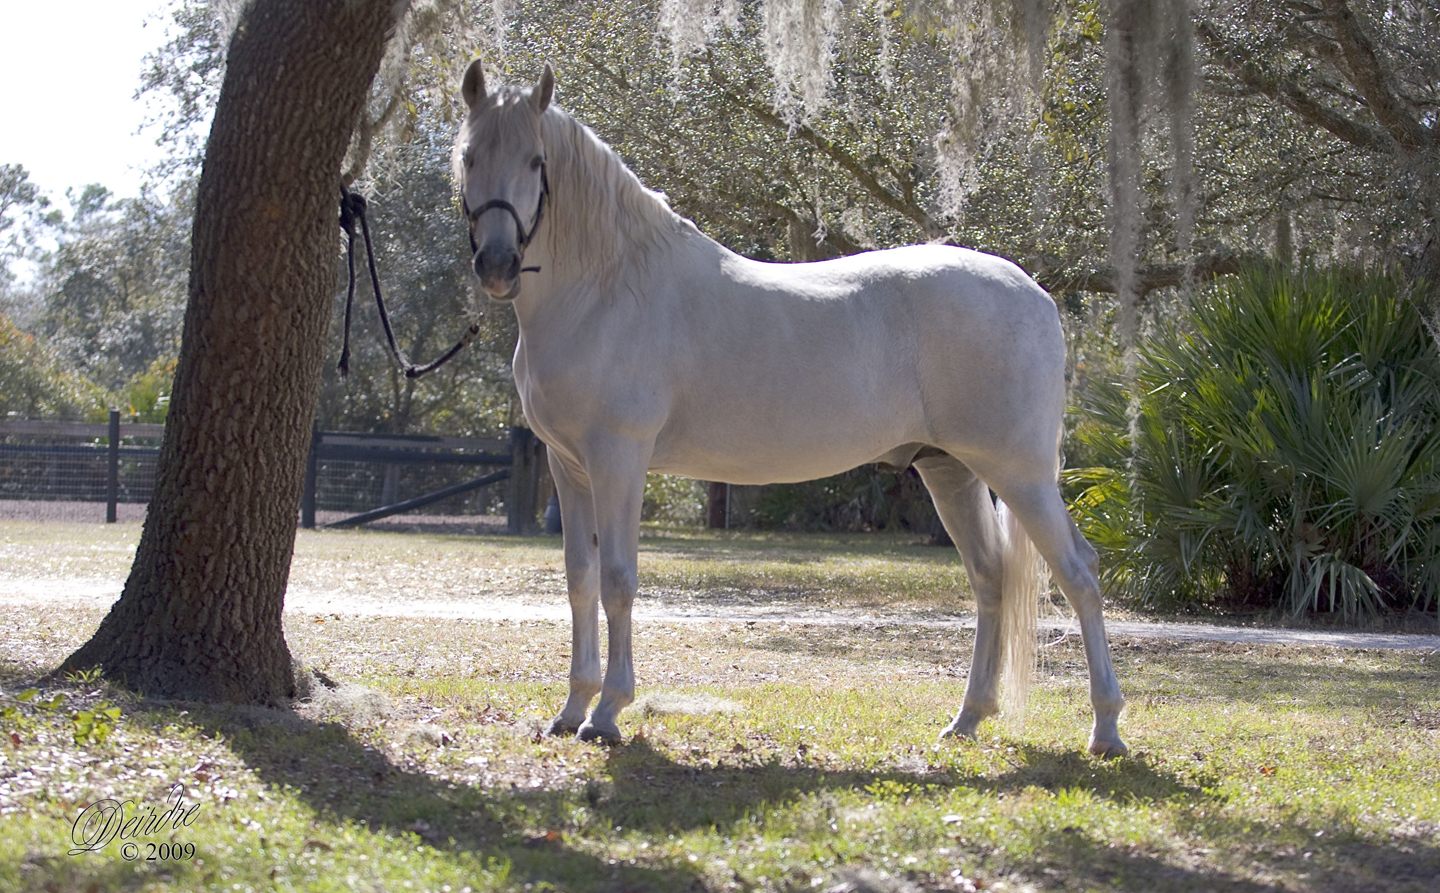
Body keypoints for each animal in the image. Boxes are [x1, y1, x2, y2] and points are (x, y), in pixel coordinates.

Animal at [455, 62, 1128, 754]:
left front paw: (609, 711)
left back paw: (1106, 730)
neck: (609, 287)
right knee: (991, 578)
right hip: (951, 469)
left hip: (1020, 474)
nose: (498, 265)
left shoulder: (619, 457)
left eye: (537, 161)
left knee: (1080, 573)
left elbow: (618, 579)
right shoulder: (570, 466)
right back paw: (967, 718)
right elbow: (580, 579)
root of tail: (1036, 295)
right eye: (469, 155)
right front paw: (571, 709)